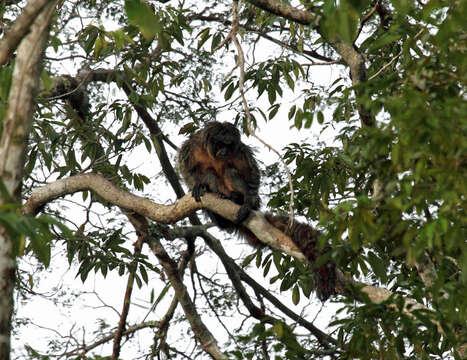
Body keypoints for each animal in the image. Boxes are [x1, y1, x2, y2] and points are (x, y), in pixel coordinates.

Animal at [178, 121, 336, 300]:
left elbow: (251, 171)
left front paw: (249, 201)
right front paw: (198, 185)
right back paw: (218, 200)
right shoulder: (193, 145)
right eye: (221, 143)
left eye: (229, 145)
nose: (225, 151)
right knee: (209, 173)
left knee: (230, 170)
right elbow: (186, 168)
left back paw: (237, 199)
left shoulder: (240, 150)